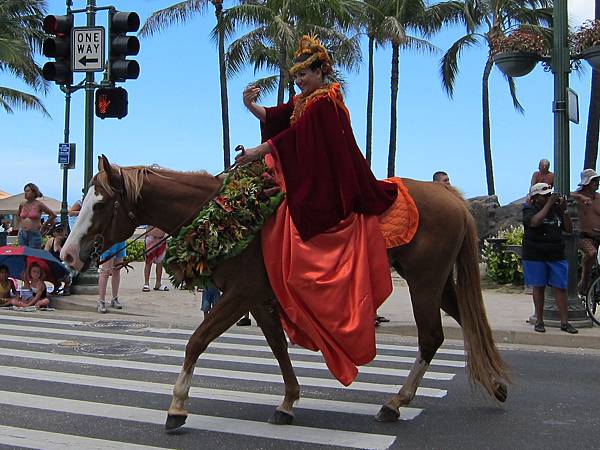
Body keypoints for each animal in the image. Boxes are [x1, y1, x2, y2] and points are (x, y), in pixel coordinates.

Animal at [63, 156, 508, 430]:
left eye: (100, 205)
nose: (67, 254)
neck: (221, 215)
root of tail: (453, 198)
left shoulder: (238, 296)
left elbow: (196, 342)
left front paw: (177, 407)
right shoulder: (257, 300)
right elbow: (278, 348)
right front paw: (289, 401)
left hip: (424, 281)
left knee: (432, 336)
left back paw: (395, 402)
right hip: (435, 283)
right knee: (467, 323)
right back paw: (495, 381)